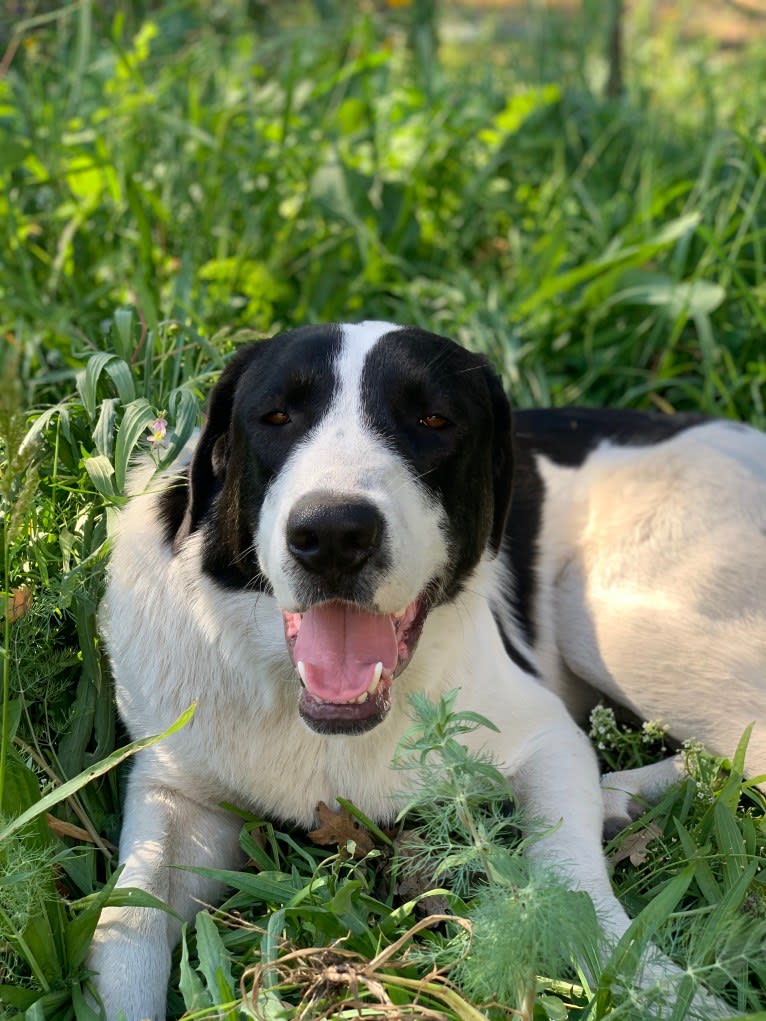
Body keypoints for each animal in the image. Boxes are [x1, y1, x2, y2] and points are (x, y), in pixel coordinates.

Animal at [85, 322, 766, 1016]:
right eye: (275, 416)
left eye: (433, 420)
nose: (333, 535)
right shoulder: (175, 792)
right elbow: (125, 923)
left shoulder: (548, 737)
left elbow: (570, 882)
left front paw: (664, 988)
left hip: (609, 611)